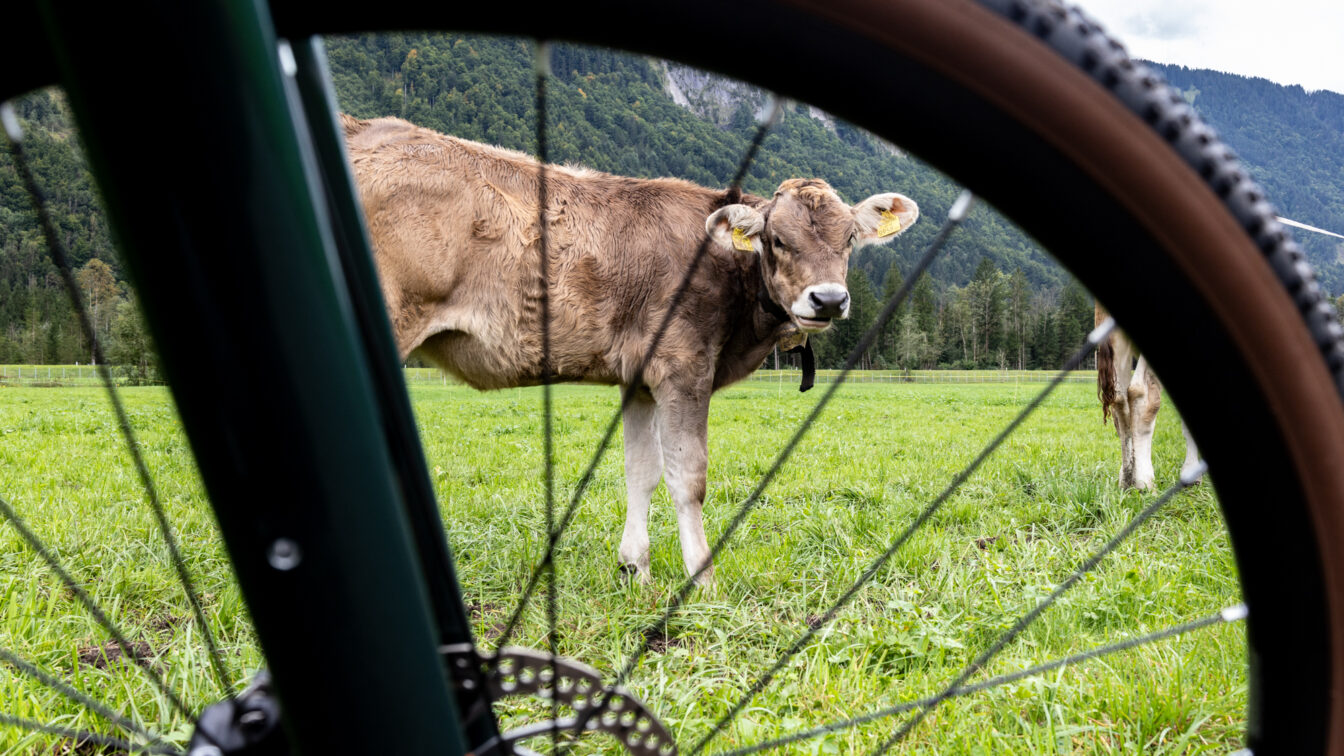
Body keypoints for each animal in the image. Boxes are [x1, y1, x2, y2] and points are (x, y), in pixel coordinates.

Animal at [341, 114, 919, 584]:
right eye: (776, 239)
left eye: (849, 240)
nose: (829, 299)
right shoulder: (684, 368)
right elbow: (688, 477)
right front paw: (702, 582)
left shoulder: (640, 378)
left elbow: (641, 471)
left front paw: (635, 570)